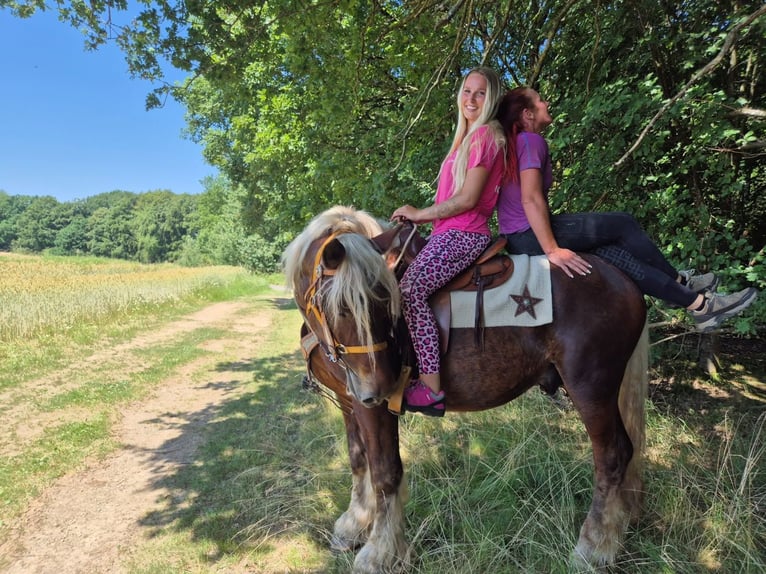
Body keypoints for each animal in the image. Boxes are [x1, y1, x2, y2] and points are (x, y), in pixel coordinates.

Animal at [282, 205, 649, 573]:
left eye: (388, 305)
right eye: (343, 308)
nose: (381, 385)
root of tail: (623, 280)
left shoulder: (372, 407)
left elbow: (385, 471)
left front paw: (379, 552)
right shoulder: (349, 400)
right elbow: (358, 461)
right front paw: (353, 525)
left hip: (590, 388)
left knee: (611, 457)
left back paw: (592, 548)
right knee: (626, 450)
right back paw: (618, 527)